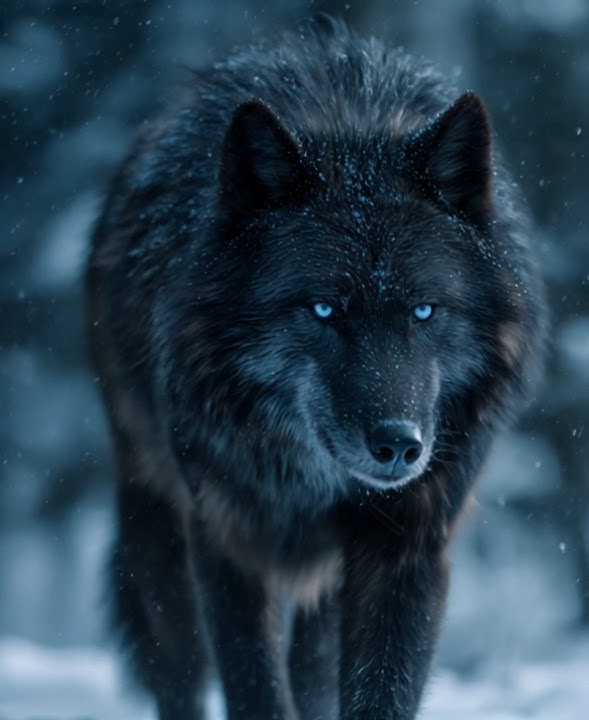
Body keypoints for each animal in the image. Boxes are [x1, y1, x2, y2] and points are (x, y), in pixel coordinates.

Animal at [86, 14, 545, 720]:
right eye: (324, 308)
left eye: (423, 310)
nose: (399, 446)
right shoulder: (228, 539)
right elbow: (253, 686)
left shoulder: (408, 544)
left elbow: (379, 689)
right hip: (153, 524)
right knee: (178, 671)